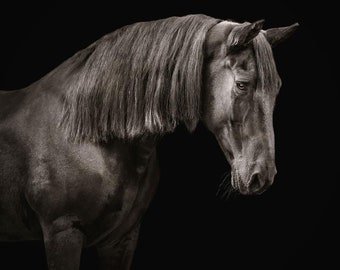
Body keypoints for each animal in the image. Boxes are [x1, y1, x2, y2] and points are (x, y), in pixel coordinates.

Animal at [0, 14, 298, 270]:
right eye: (242, 85)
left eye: (277, 88)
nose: (262, 176)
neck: (86, 135)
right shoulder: (63, 232)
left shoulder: (121, 239)